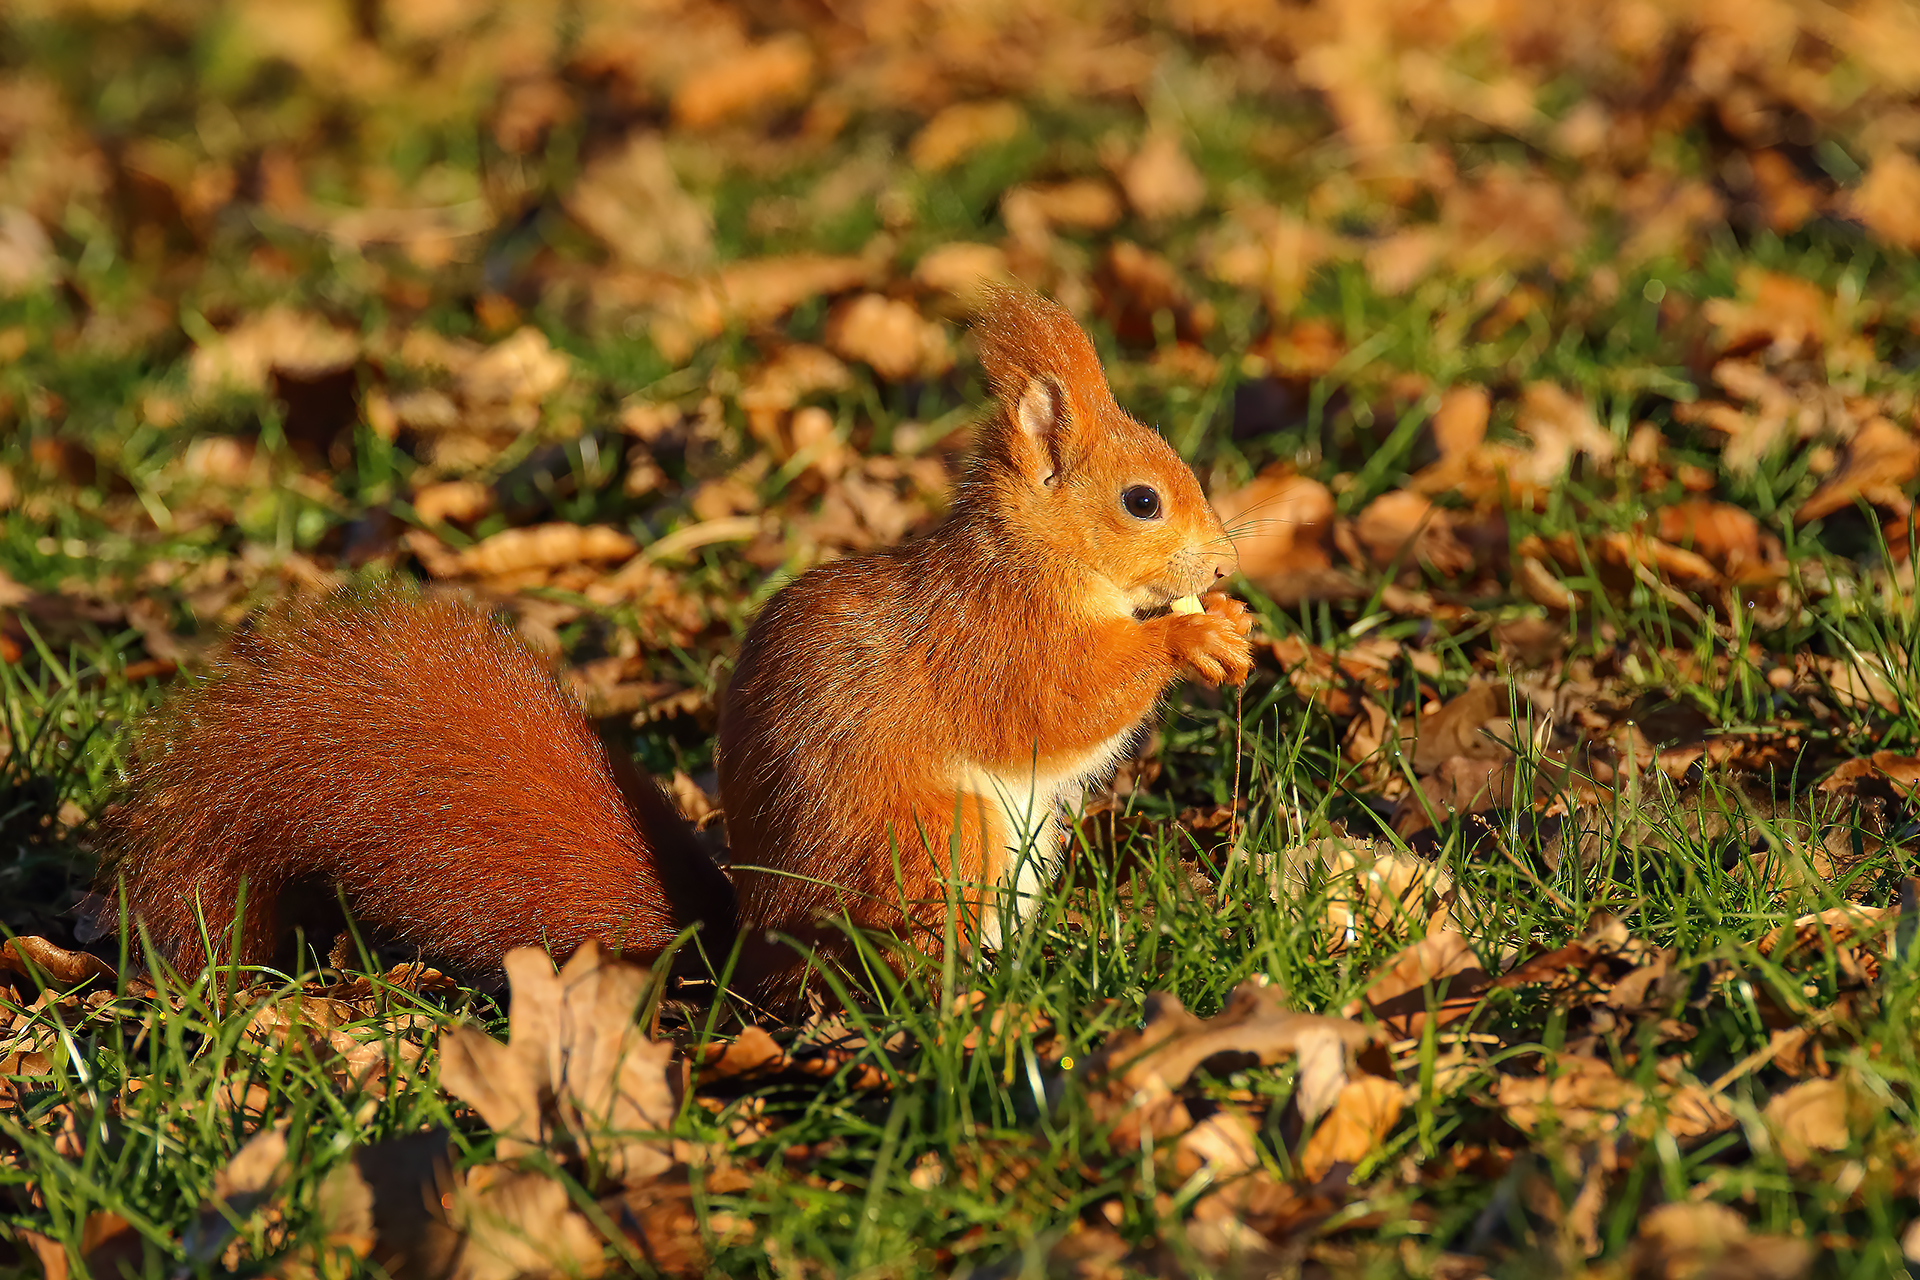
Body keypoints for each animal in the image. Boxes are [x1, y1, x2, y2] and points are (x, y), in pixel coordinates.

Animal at [103, 286, 1252, 1005]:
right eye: (1141, 501)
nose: (1222, 564)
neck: (1039, 555)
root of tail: (751, 965)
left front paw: (1224, 626)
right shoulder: (991, 637)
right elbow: (1061, 702)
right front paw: (1192, 641)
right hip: (938, 844)